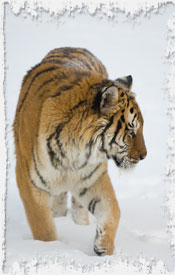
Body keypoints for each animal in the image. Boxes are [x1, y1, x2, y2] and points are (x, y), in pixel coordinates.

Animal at [13, 47, 146, 256]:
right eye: (131, 131)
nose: (144, 156)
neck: (75, 152)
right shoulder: (29, 181)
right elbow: (44, 228)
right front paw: (50, 249)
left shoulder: (92, 178)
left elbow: (113, 209)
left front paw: (104, 247)